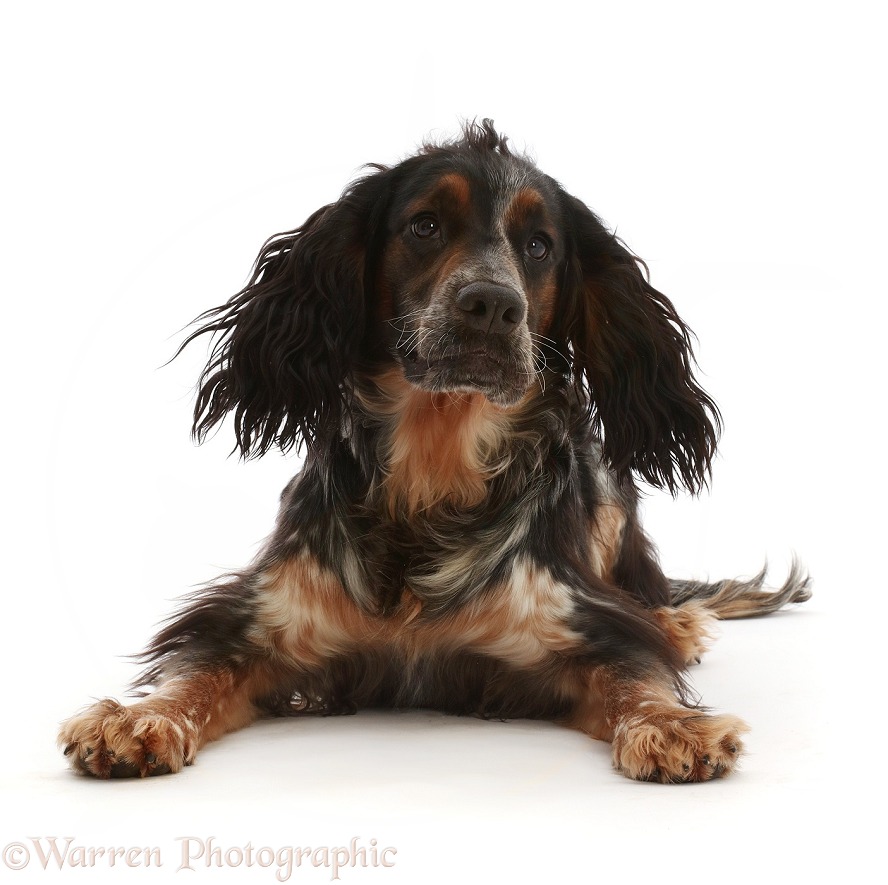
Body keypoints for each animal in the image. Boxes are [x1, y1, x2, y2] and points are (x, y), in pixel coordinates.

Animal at [60, 119, 812, 780]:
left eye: (539, 245)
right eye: (424, 225)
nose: (492, 305)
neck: (433, 470)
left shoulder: (580, 623)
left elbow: (636, 673)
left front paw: (672, 725)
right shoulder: (257, 619)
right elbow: (195, 673)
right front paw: (138, 718)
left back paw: (676, 623)